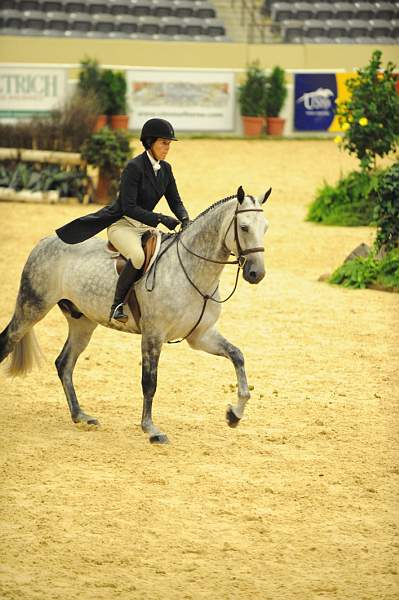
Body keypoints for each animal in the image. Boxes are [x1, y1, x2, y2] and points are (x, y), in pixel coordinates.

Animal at [0, 185, 272, 442]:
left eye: (265, 228)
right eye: (244, 227)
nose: (256, 274)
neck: (192, 270)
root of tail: (45, 241)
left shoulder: (201, 336)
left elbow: (237, 356)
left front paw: (234, 414)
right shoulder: (153, 335)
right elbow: (149, 382)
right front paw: (151, 430)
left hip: (82, 323)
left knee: (64, 363)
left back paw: (81, 415)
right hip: (32, 308)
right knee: (8, 343)